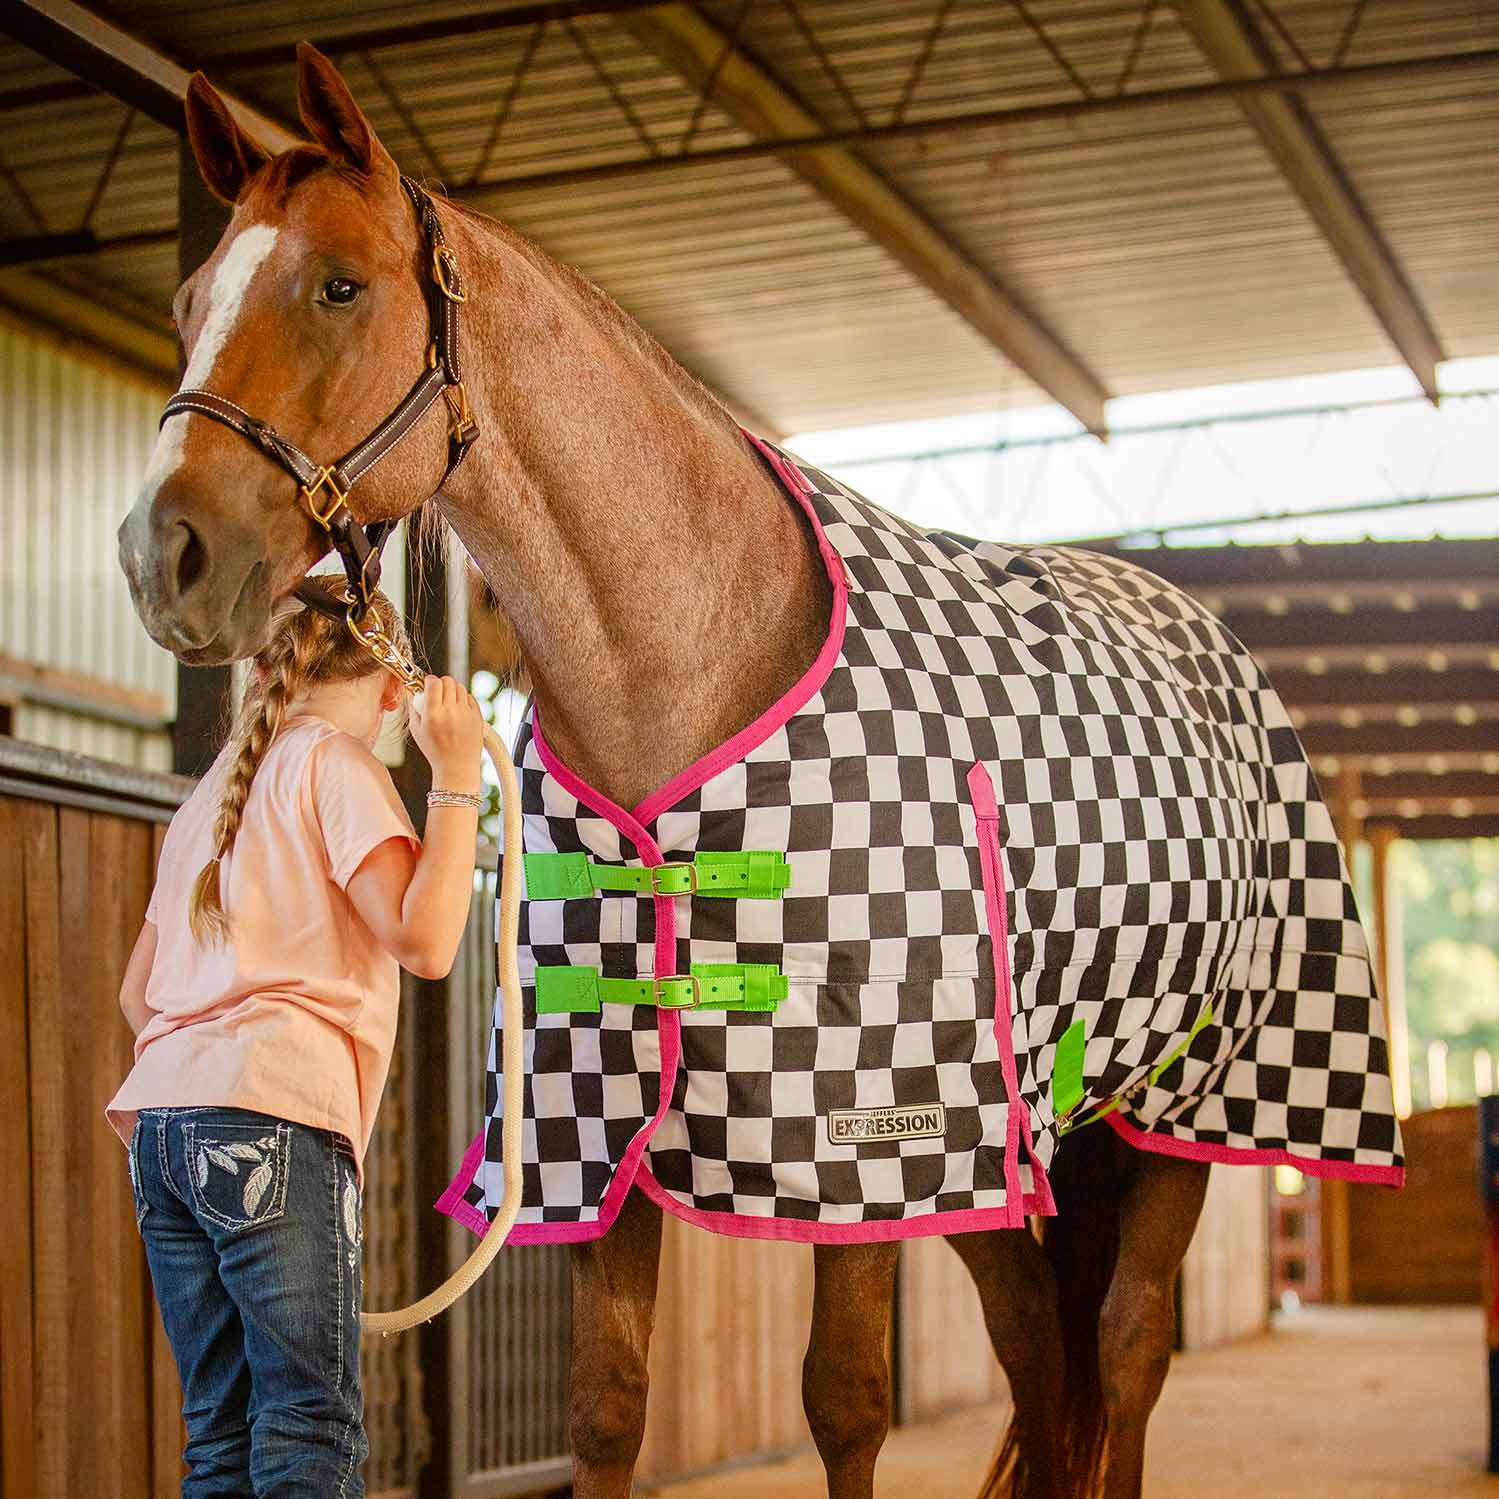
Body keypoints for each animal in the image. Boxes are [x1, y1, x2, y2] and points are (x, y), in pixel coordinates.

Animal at [117, 46, 1401, 1499]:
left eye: (339, 283)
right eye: (187, 303)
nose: (162, 551)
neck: (697, 660)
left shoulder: (858, 1144)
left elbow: (842, 1400)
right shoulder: (594, 1123)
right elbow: (605, 1404)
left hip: (1186, 1106)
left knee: (1124, 1356)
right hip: (1013, 1143)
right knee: (1040, 1351)